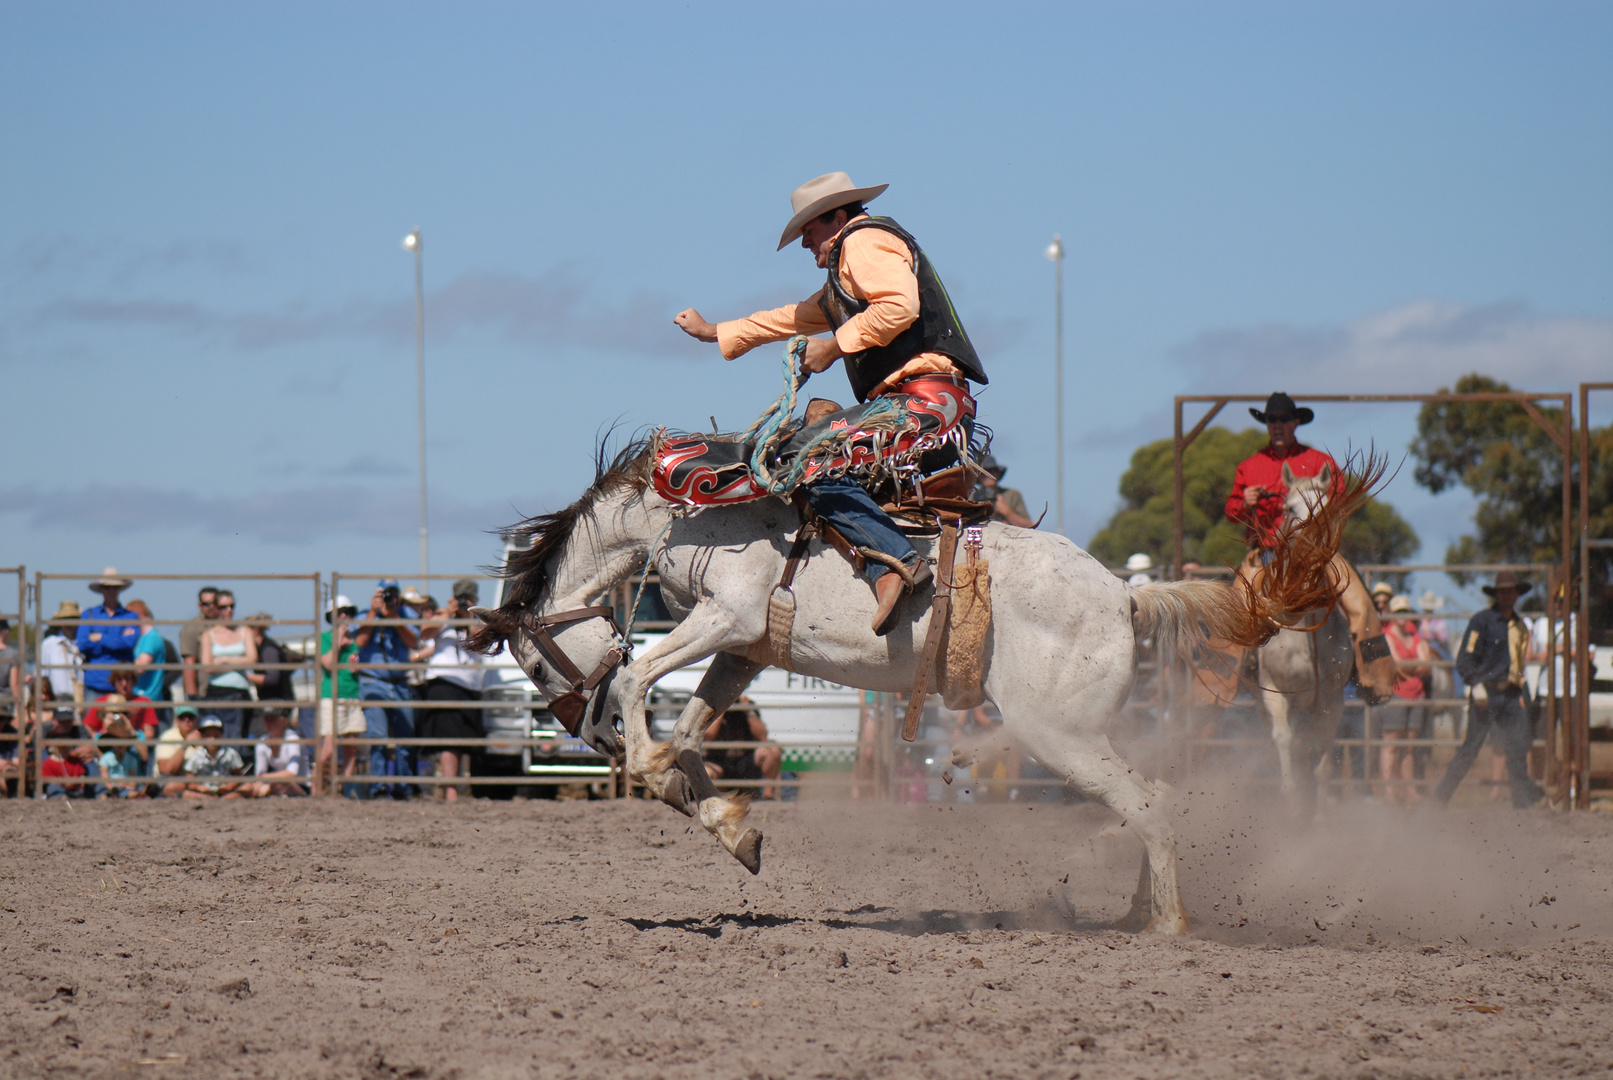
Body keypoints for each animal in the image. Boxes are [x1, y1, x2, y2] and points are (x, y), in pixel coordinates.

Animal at [470, 438, 1361, 941]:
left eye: (537, 667)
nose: (585, 735)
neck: (685, 512)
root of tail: (1123, 597)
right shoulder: (746, 648)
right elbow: (690, 726)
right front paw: (724, 821)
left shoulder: (729, 615)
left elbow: (638, 675)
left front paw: (651, 763)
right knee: (1159, 797)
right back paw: (1137, 914)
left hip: (1058, 735)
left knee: (1148, 802)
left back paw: (1168, 928)